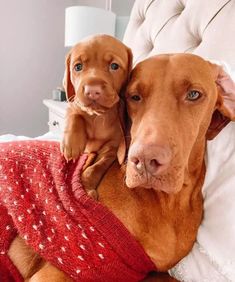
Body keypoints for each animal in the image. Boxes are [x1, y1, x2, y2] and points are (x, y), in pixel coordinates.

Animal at [61, 34, 132, 198]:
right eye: (78, 67)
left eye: (114, 66)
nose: (92, 90)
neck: (97, 117)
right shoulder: (75, 102)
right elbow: (74, 114)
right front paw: (71, 143)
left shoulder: (111, 149)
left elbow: (97, 167)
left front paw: (86, 186)